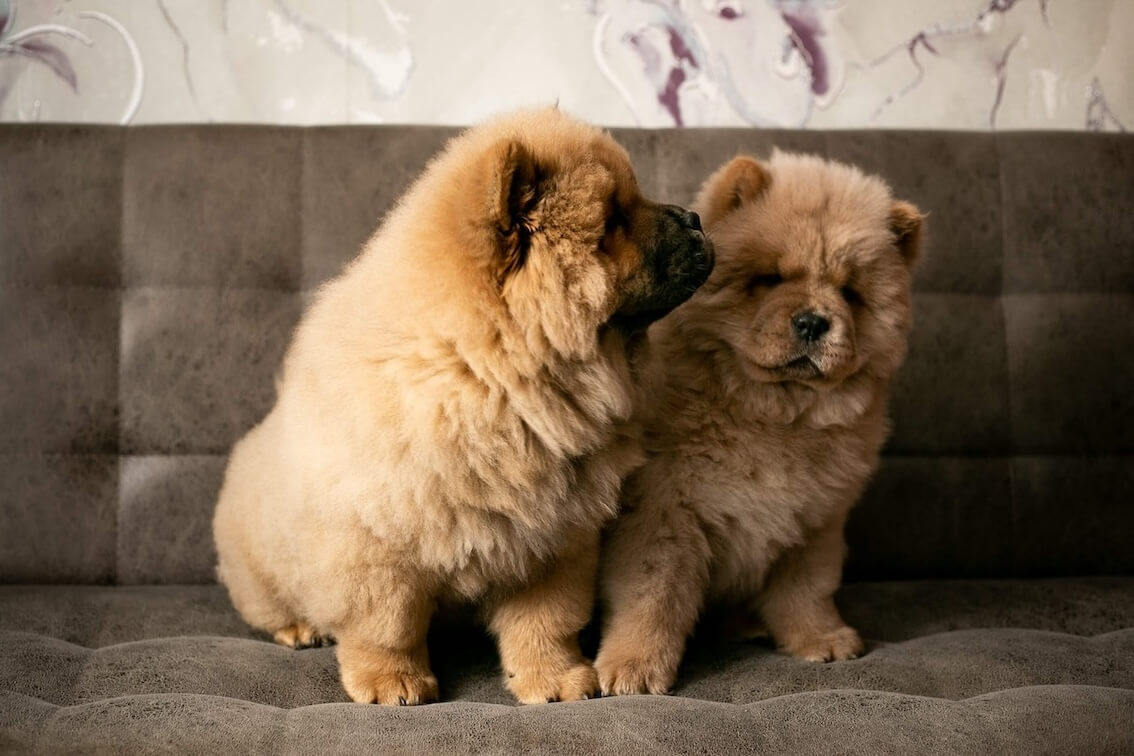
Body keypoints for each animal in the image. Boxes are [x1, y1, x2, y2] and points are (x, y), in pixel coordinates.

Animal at [209, 109, 712, 707]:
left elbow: (545, 622)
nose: (697, 219)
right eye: (614, 220)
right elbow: (386, 624)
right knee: (268, 604)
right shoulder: (376, 545)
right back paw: (298, 628)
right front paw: (393, 683)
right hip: (261, 563)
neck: (494, 376)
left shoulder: (551, 536)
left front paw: (554, 682)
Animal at [594, 150, 920, 693]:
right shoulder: (662, 513)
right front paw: (633, 667)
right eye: (770, 279)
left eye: (849, 293)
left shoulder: (816, 520)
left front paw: (822, 639)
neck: (771, 412)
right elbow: (652, 595)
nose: (813, 321)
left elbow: (806, 589)